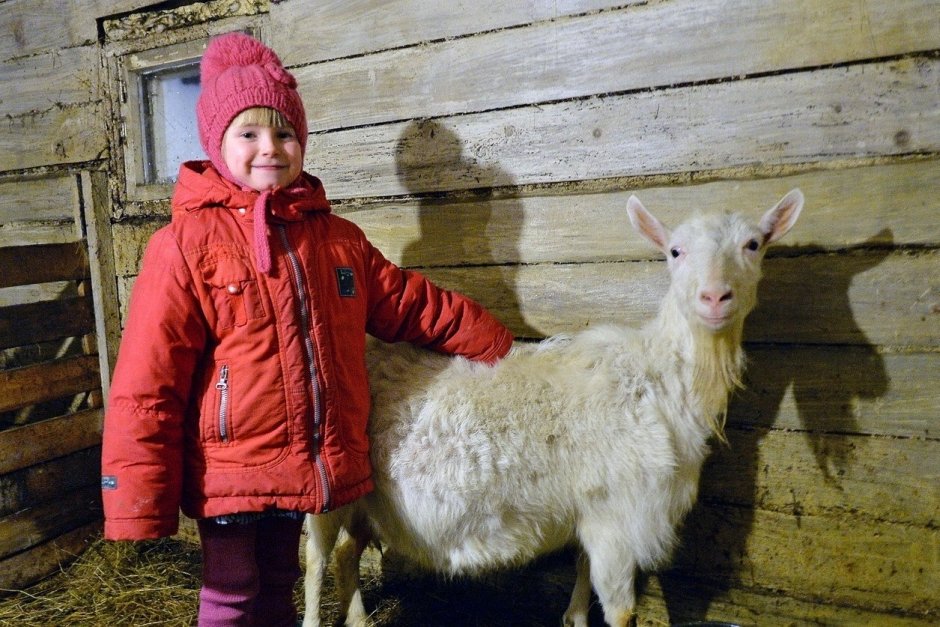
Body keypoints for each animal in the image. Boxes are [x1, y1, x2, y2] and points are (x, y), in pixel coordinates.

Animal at [304, 189, 804, 624]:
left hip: (369, 500)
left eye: (754, 244)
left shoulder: (593, 510)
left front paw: (574, 617)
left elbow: (582, 582)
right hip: (328, 487)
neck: (659, 378)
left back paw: (359, 620)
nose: (715, 297)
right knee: (316, 559)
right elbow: (621, 612)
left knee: (346, 554)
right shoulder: (617, 518)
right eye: (675, 251)